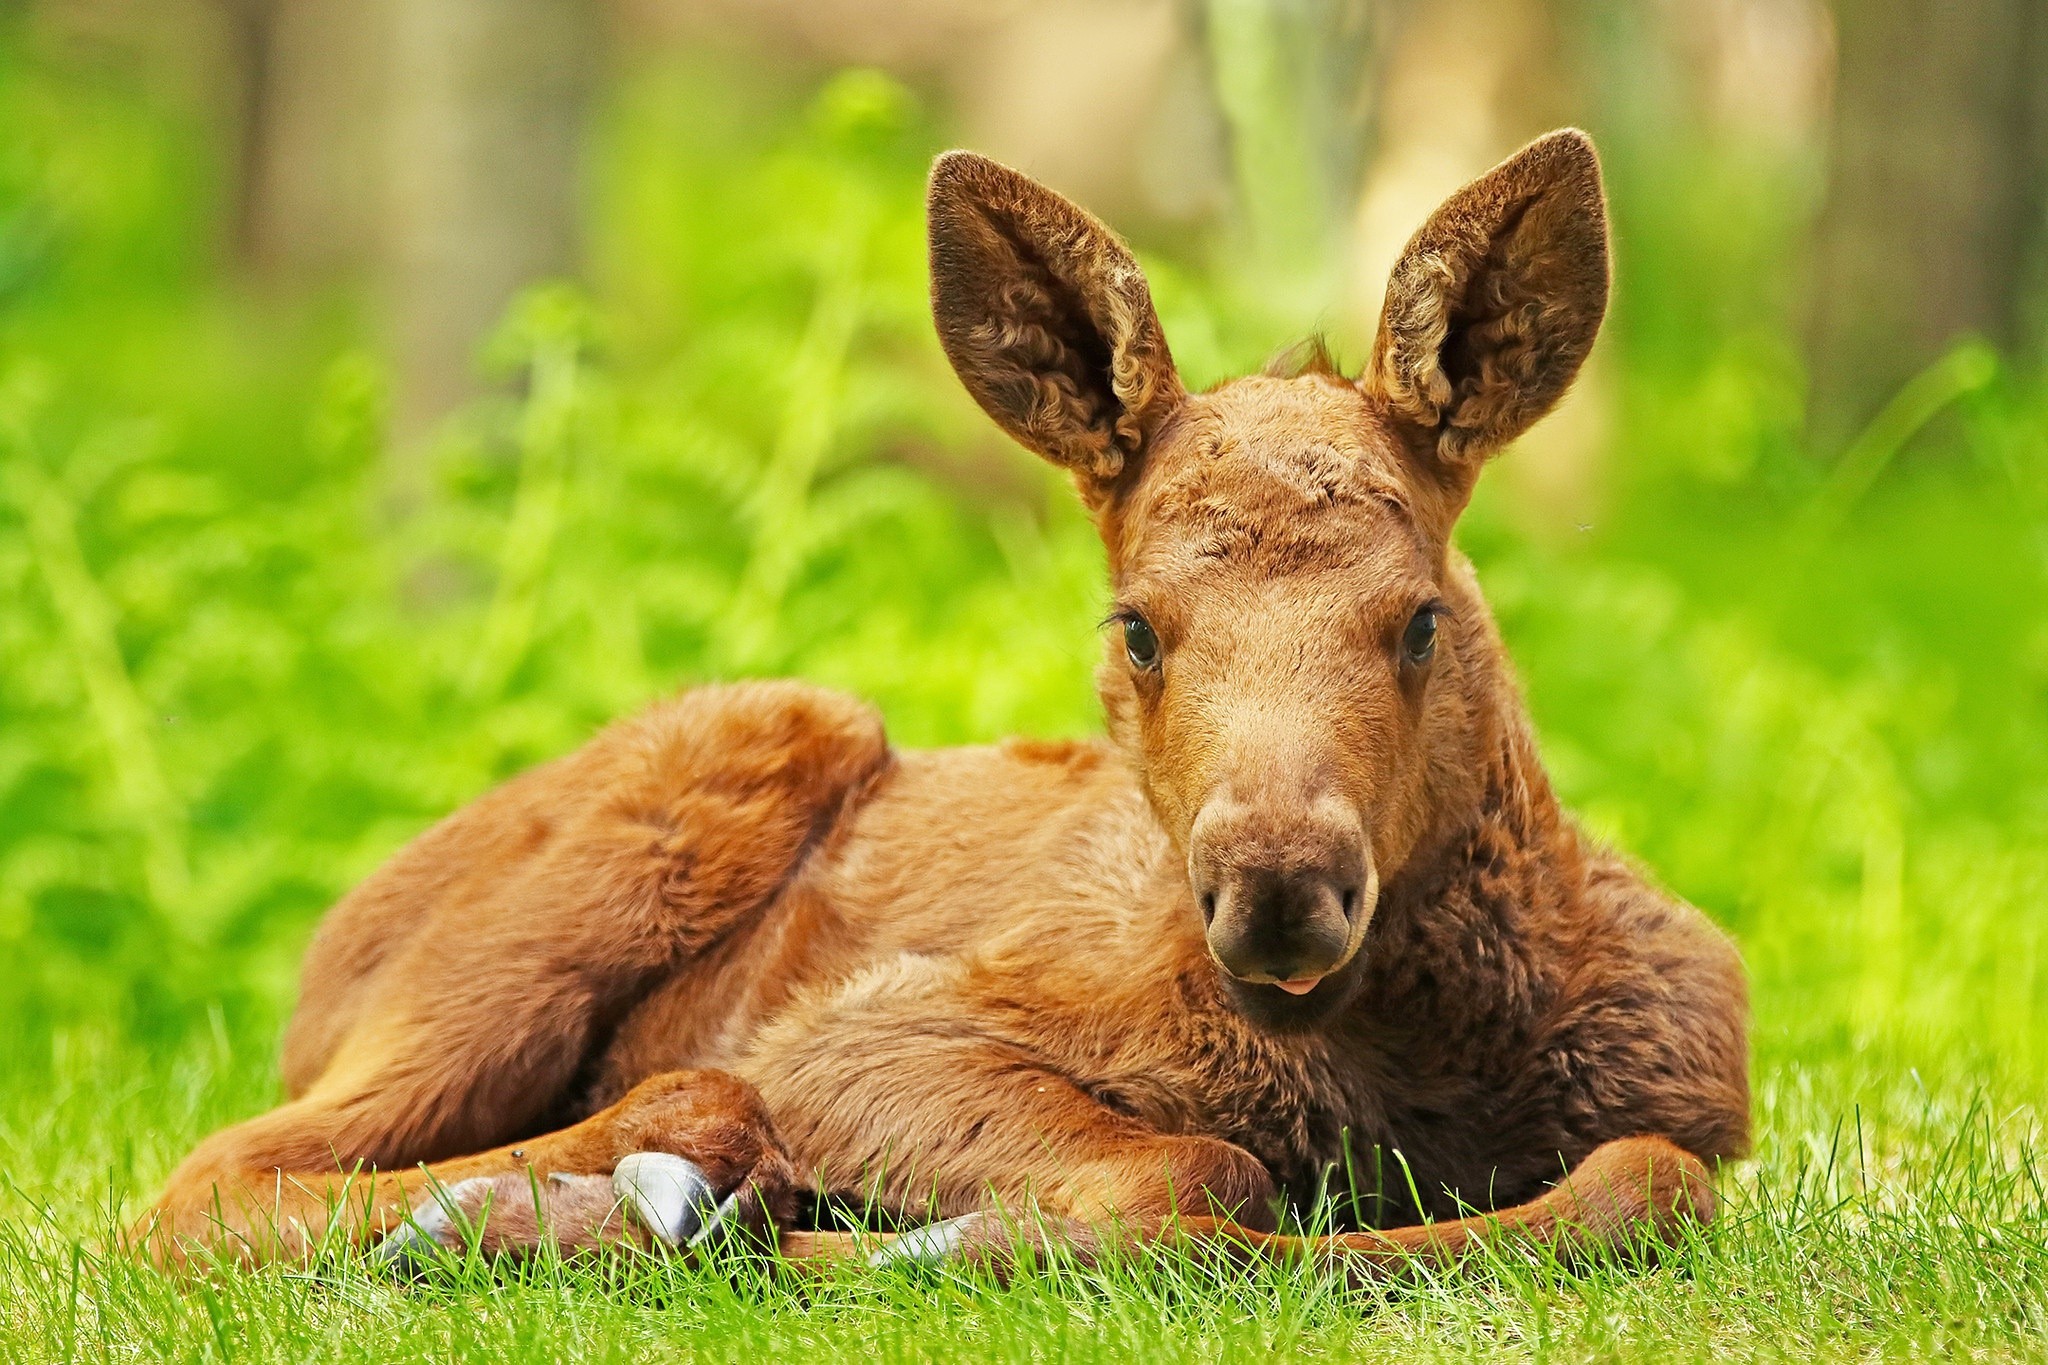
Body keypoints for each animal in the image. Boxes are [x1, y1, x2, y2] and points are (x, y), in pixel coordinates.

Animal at [137, 129, 1749, 1285]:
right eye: (1136, 627)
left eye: (1422, 617)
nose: (1279, 885)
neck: (1405, 1066)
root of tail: (325, 966)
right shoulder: (865, 1033)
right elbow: (1200, 1166)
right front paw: (879, 1237)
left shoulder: (1693, 1090)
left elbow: (1640, 1182)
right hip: (705, 781)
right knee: (201, 1181)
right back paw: (614, 1195)